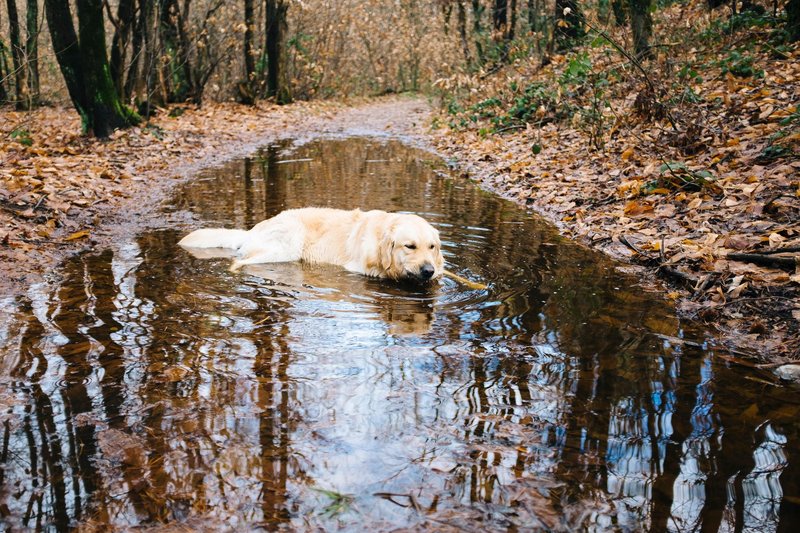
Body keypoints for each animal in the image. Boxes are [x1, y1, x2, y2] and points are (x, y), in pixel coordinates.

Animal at [178, 208, 446, 282]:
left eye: (432, 247)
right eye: (409, 246)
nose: (428, 270)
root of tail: (253, 229)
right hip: (286, 248)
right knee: (239, 260)